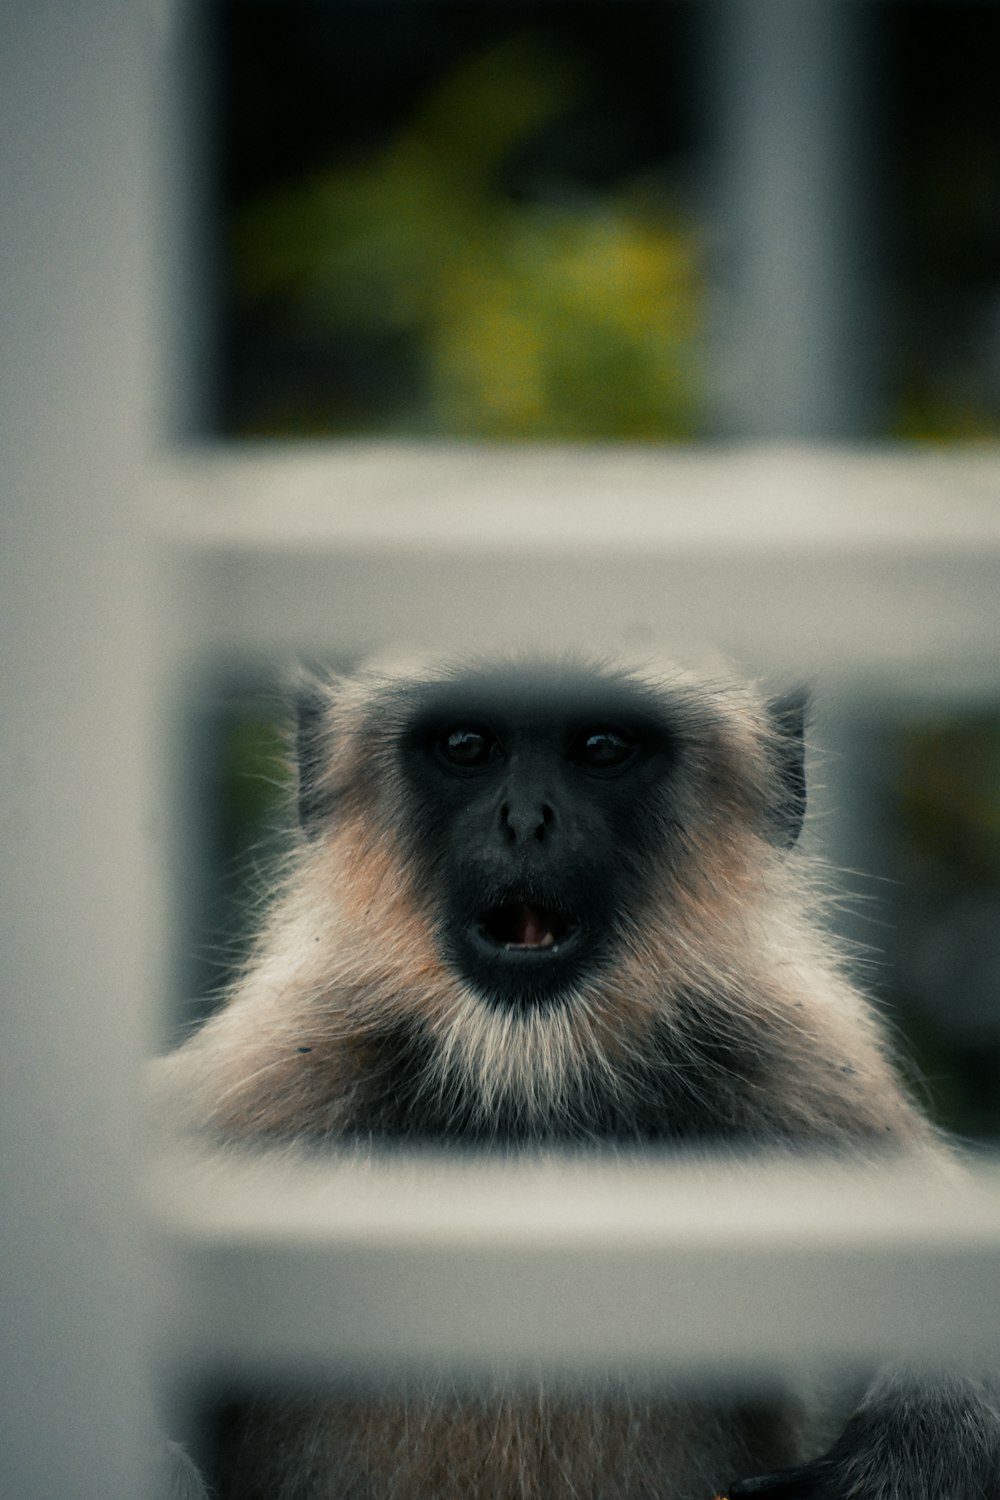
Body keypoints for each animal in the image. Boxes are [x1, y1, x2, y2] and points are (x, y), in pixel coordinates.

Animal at [156, 657, 1000, 1500]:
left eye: (600, 746)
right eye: (467, 745)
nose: (526, 821)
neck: (531, 1085)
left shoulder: (799, 1072)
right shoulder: (270, 1079)